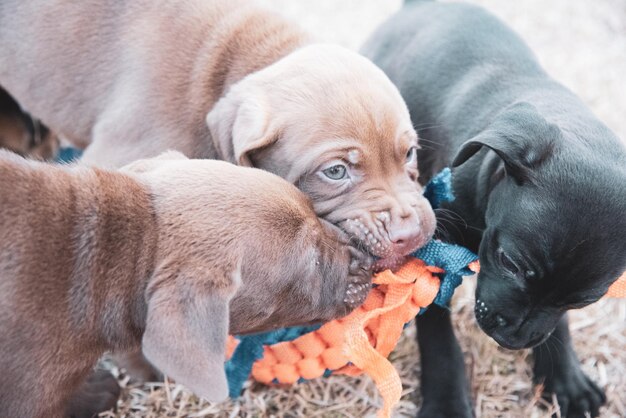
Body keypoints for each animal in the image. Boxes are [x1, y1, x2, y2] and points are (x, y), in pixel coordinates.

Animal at [360, 0, 624, 418]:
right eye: (510, 263)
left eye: (584, 301)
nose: (513, 338)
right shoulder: (431, 244)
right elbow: (436, 326)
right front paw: (448, 401)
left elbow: (559, 323)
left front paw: (565, 377)